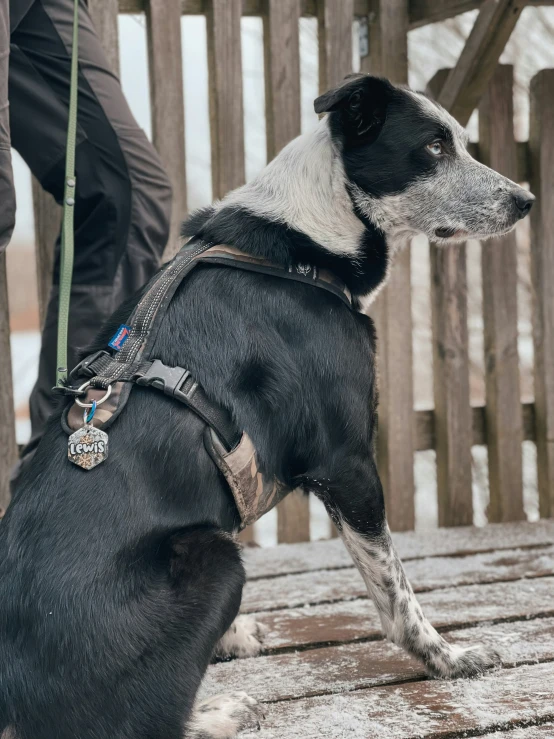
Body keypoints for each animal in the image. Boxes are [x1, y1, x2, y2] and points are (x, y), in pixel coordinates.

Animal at [1, 76, 536, 739]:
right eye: (435, 147)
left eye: (461, 141)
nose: (526, 200)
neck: (304, 246)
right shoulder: (347, 463)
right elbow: (395, 591)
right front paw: (449, 658)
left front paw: (229, 639)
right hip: (217, 559)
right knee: (140, 725)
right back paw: (222, 710)